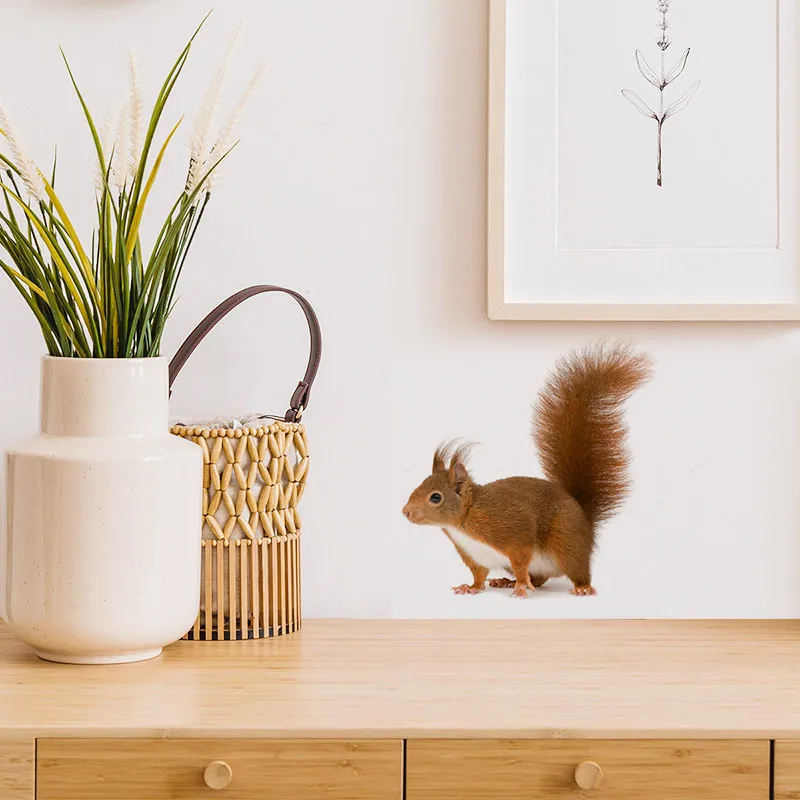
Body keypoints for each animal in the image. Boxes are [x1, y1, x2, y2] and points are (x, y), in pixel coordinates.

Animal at [401, 341, 653, 598]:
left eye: (435, 497)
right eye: (418, 485)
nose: (405, 512)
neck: (464, 520)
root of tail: (584, 517)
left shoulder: (513, 531)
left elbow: (521, 561)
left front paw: (521, 585)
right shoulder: (473, 556)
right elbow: (479, 575)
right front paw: (471, 587)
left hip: (566, 542)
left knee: (577, 570)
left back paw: (581, 587)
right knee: (540, 578)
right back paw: (506, 581)